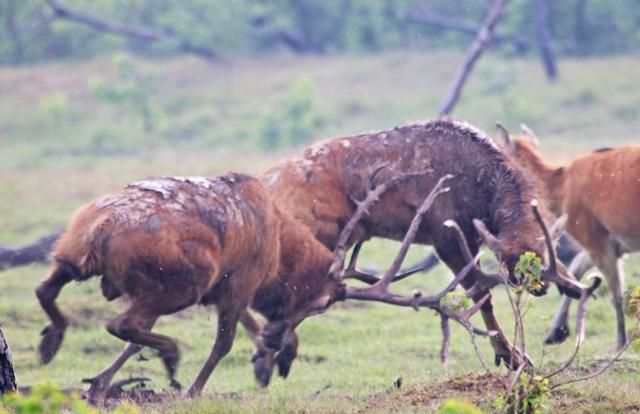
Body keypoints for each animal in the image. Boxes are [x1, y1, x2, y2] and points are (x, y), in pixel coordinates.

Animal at [260, 117, 600, 368]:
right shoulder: (445, 237)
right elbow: (482, 296)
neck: (483, 193)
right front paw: (511, 356)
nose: (541, 287)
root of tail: (266, 182)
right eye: (508, 264)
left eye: (545, 253)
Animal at [500, 123, 640, 350]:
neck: (561, 187)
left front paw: (620, 342)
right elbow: (575, 268)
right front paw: (556, 332)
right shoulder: (612, 242)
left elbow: (615, 295)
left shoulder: (593, 237)